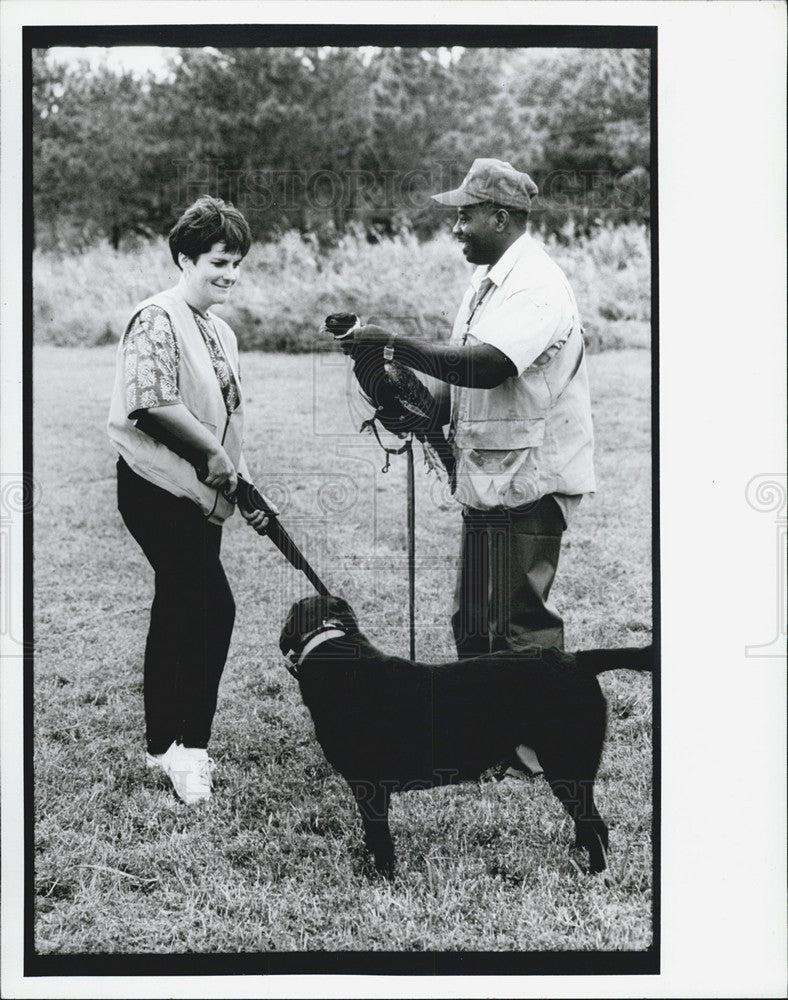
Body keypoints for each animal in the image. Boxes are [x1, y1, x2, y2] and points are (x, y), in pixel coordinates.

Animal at [278, 592, 652, 876]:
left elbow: (380, 836)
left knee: (596, 825)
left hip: (567, 763)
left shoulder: (370, 786)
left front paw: (382, 874)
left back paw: (594, 871)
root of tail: (578, 659)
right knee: (587, 821)